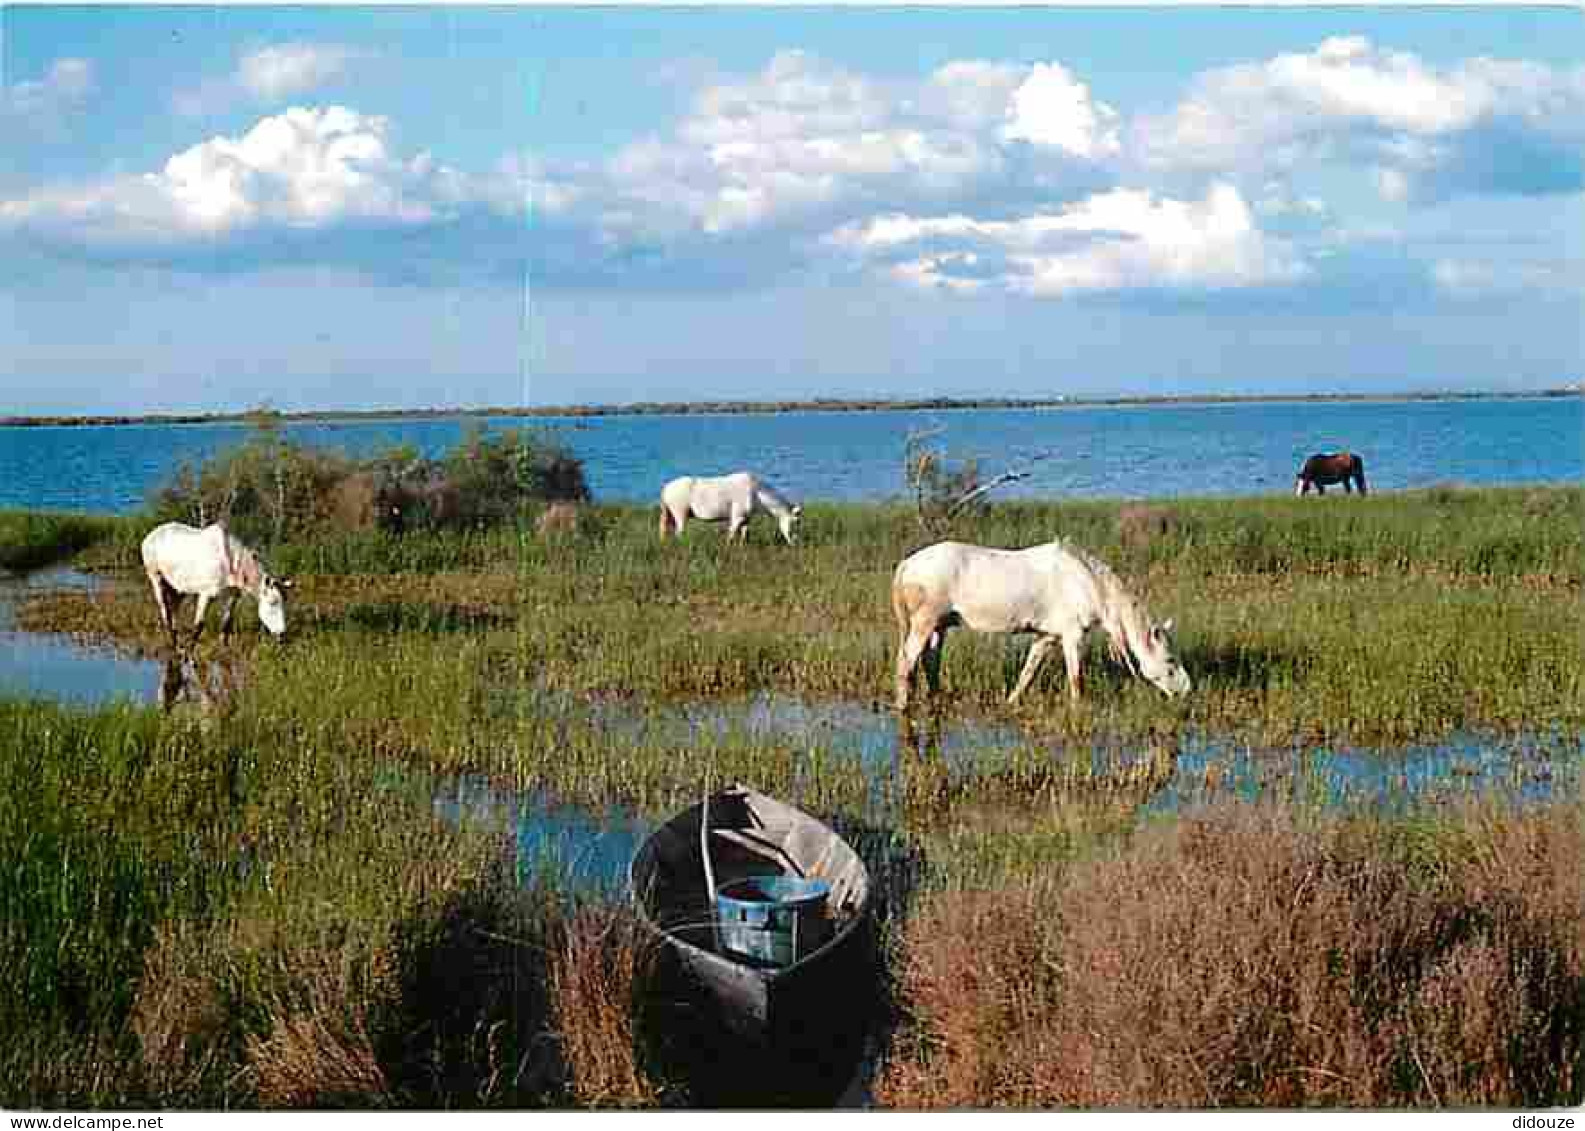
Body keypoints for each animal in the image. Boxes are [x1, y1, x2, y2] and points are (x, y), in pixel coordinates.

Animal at [141, 519, 293, 643]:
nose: (281, 635)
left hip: (178, 588)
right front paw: (189, 655)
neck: (230, 562)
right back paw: (173, 642)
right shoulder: (206, 595)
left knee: (174, 610)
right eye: (273, 603)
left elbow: (226, 622)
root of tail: (150, 536)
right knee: (165, 611)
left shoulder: (233, 594)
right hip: (156, 578)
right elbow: (198, 626)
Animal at [659, 468, 805, 544]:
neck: (756, 492)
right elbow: (731, 533)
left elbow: (745, 533)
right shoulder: (737, 516)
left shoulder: (746, 518)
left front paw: (742, 547)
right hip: (680, 513)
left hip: (669, 514)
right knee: (679, 533)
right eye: (796, 522)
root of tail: (665, 489)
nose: (795, 542)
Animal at [893, 535, 1191, 709]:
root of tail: (907, 564)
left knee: (930, 661)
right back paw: (903, 706)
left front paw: (1011, 702)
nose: (1186, 691)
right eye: (1170, 661)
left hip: (938, 627)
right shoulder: (1073, 636)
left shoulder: (1047, 637)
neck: (1088, 582)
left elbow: (1028, 671)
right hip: (924, 623)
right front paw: (1079, 710)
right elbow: (1076, 678)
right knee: (906, 662)